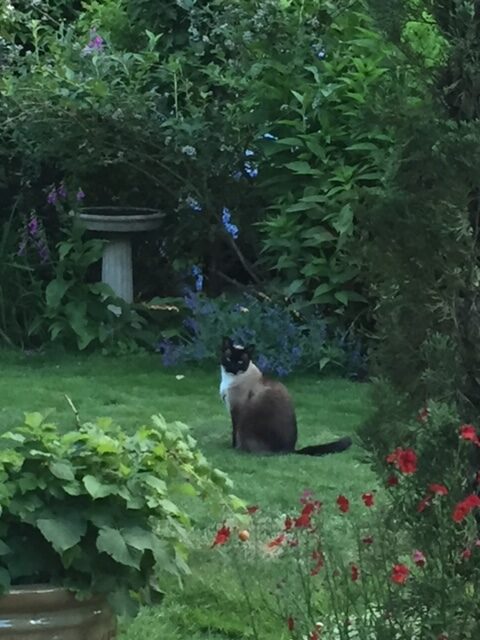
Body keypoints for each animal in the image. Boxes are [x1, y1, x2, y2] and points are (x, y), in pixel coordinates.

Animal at [218, 336, 352, 456]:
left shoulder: (235, 410)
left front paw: (232, 447)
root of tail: (291, 450)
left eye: (240, 362)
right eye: (228, 359)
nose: (232, 368)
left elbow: (234, 432)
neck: (230, 379)